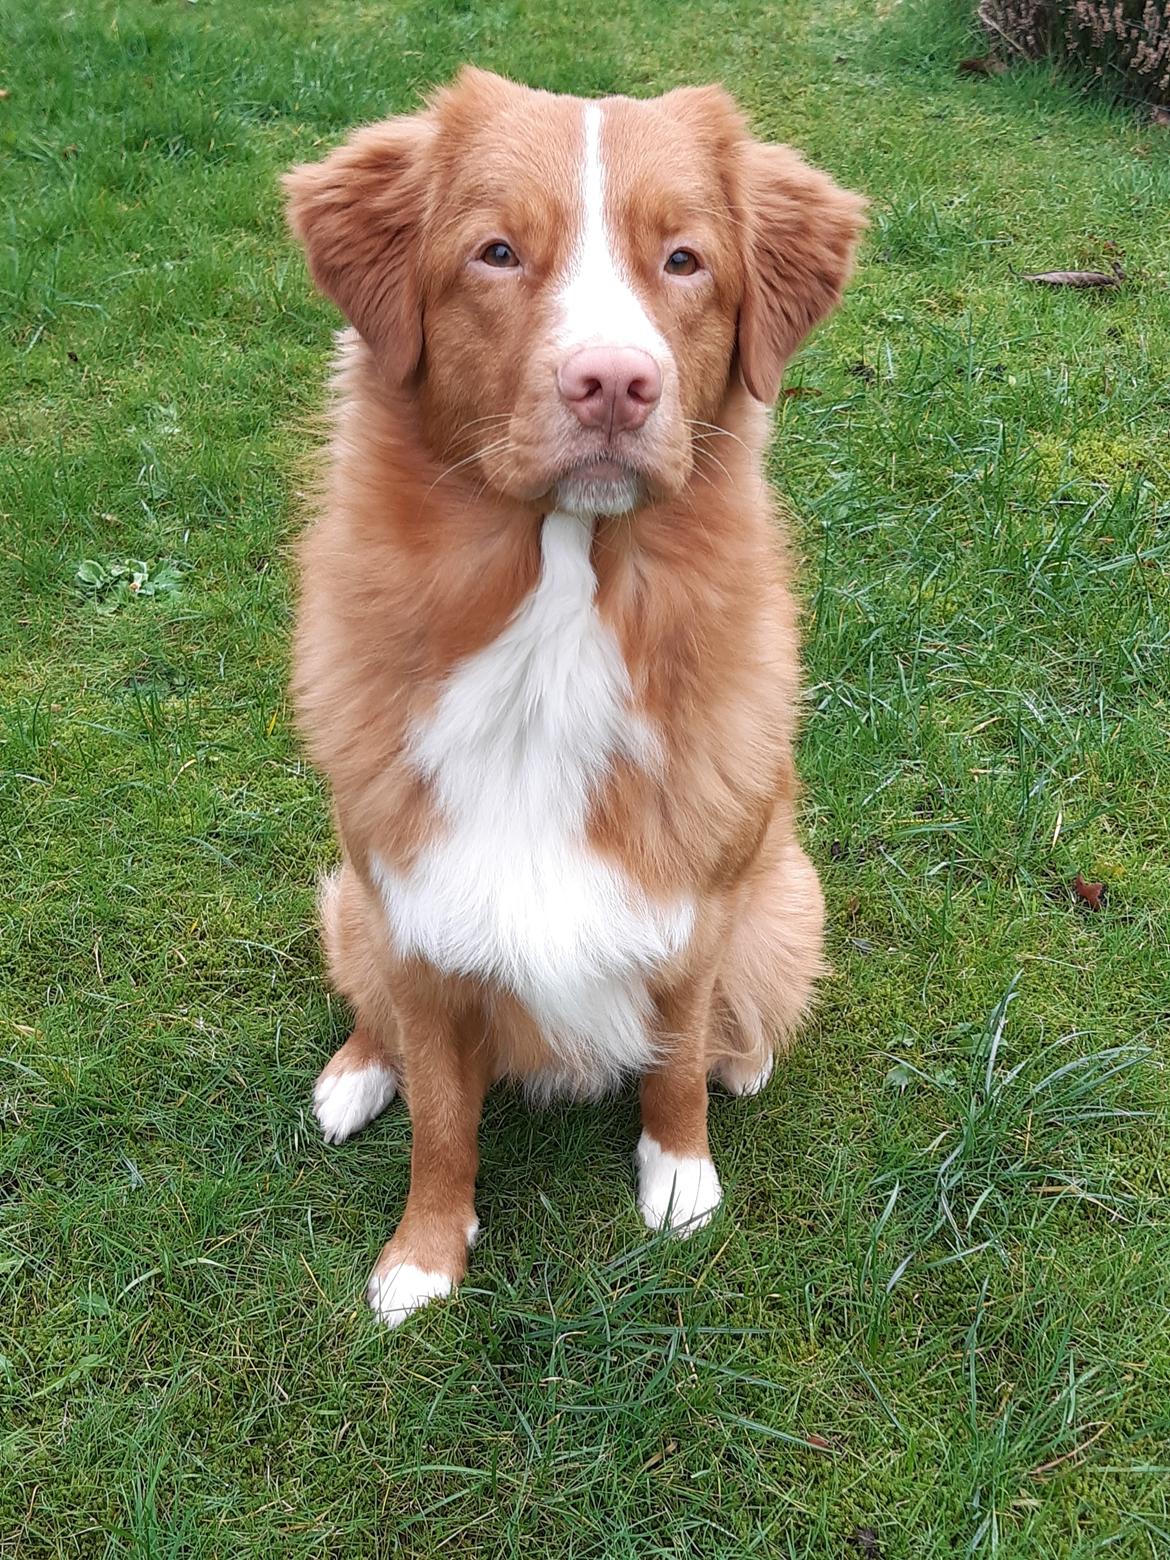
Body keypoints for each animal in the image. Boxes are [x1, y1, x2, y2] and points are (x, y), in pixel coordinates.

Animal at [283, 67, 867, 1322]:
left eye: (684, 260)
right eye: (497, 252)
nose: (614, 384)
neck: (554, 622)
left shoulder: (697, 906)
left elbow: (674, 1065)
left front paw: (680, 1182)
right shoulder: (416, 915)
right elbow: (442, 1117)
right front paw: (425, 1254)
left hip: (788, 892)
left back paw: (747, 1056)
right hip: (357, 900)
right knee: (370, 1005)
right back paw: (355, 1074)